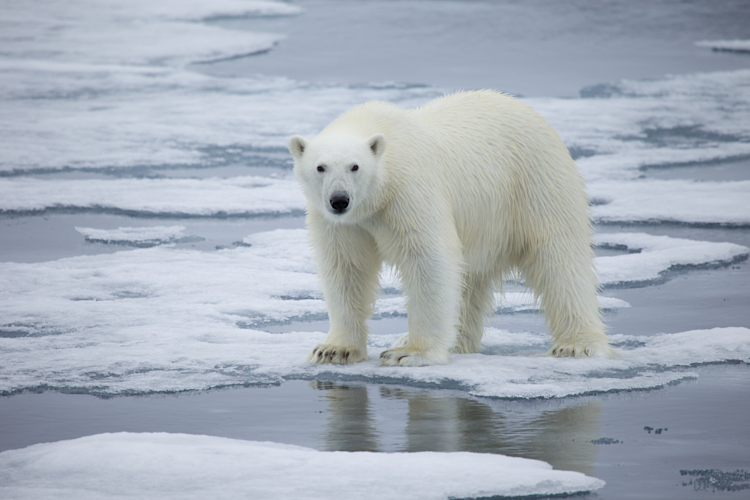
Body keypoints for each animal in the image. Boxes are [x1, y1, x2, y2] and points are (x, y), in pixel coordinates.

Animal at [288, 90, 614, 367]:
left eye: (355, 166)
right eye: (320, 167)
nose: (339, 200)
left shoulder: (409, 192)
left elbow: (428, 259)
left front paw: (409, 353)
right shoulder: (340, 223)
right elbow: (345, 267)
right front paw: (334, 349)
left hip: (535, 183)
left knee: (559, 259)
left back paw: (576, 344)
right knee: (470, 279)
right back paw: (456, 341)